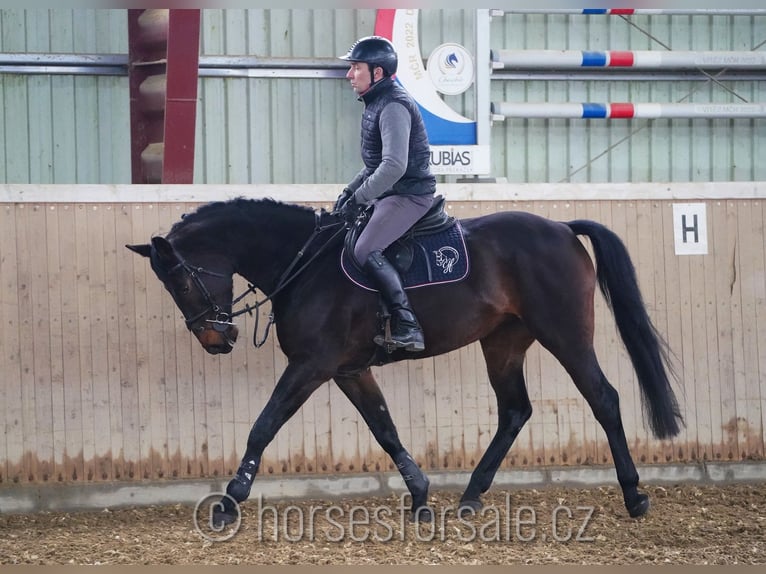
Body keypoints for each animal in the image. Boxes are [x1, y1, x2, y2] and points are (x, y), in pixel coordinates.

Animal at [126, 198, 684, 528]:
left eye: (180, 280)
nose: (215, 339)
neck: (305, 264)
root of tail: (562, 228)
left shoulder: (312, 365)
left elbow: (263, 426)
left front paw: (229, 500)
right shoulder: (348, 370)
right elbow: (385, 429)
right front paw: (420, 498)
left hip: (565, 334)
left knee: (603, 399)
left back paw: (634, 497)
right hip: (503, 342)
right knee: (514, 411)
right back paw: (470, 497)